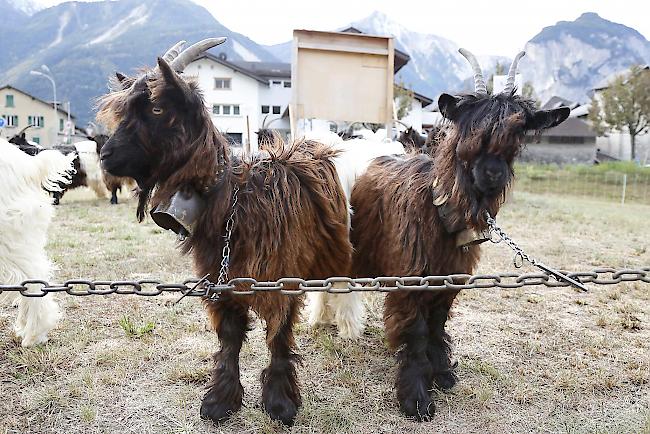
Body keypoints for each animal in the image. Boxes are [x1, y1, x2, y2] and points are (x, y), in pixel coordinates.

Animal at [96, 39, 350, 426]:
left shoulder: (283, 276)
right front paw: (220, 401)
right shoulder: (220, 277)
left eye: (157, 107)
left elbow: (279, 336)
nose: (106, 156)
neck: (234, 200)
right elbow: (230, 338)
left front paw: (280, 403)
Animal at [350, 49, 568, 422]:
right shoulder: (411, 276)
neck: (439, 210)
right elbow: (417, 332)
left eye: (518, 133)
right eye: (470, 129)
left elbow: (437, 324)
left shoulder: (450, 275)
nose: (492, 174)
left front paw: (441, 372)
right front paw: (416, 398)